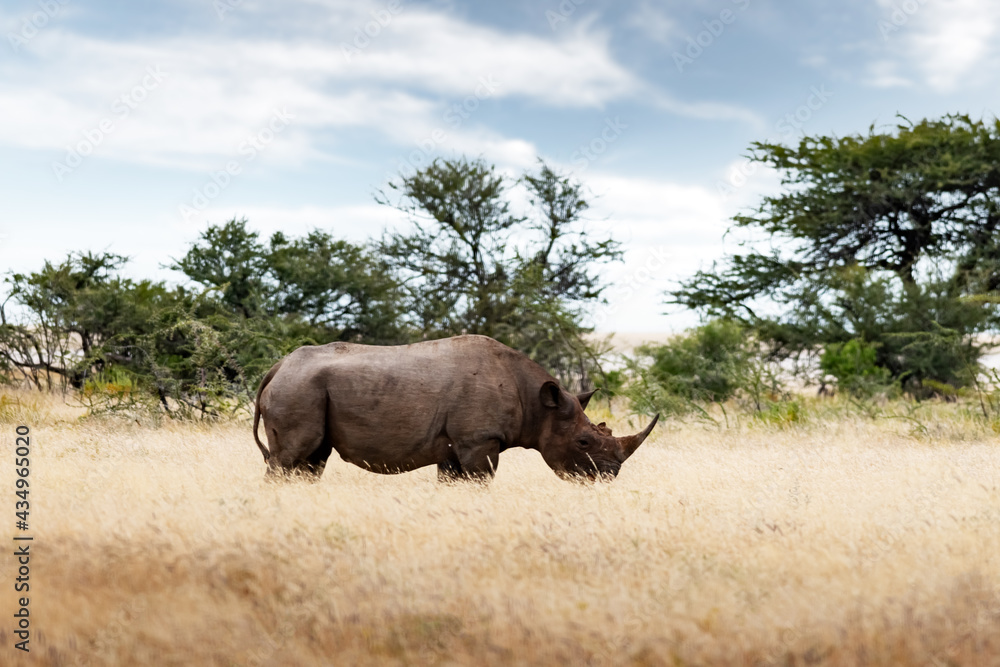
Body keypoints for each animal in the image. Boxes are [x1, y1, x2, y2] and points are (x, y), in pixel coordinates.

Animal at [252, 334, 658, 482]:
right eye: (583, 443)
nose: (609, 475)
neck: (535, 401)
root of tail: (278, 366)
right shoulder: (480, 441)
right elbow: (482, 482)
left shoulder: (455, 446)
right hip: (298, 389)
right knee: (291, 456)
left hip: (304, 388)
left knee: (312, 461)